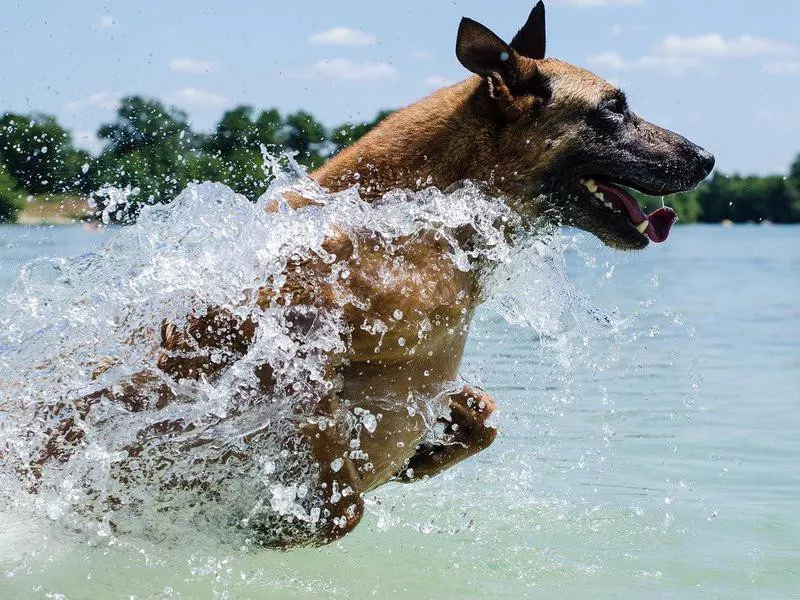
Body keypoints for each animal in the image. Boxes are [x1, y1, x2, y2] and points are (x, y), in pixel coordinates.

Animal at [25, 2, 716, 552]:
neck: (420, 223)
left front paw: (424, 458)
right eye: (614, 108)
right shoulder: (276, 348)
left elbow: (484, 417)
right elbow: (339, 488)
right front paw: (280, 525)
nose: (709, 157)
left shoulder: (421, 376)